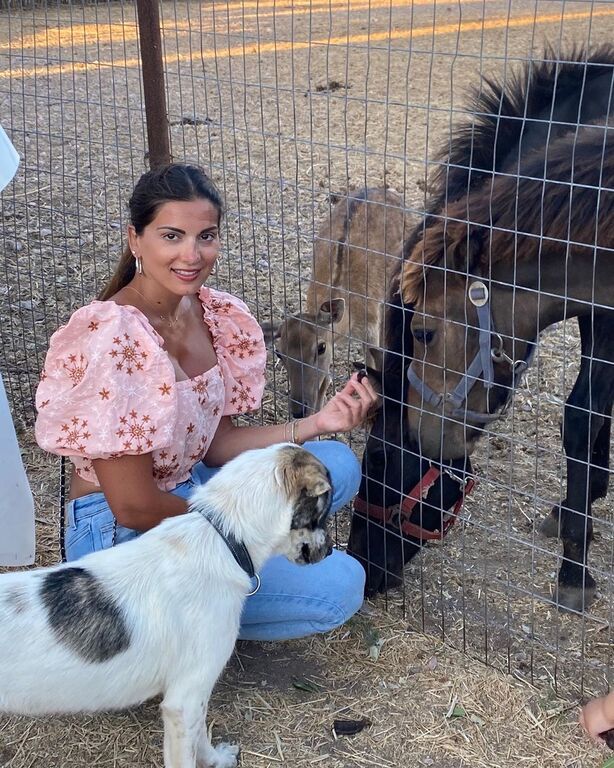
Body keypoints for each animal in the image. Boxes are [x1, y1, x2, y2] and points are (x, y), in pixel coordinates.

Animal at [0, 444, 332, 768]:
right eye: (324, 512)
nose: (329, 550)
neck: (222, 538)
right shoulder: (185, 700)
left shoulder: (190, 699)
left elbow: (201, 737)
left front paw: (215, 759)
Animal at [402, 46, 614, 612]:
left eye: (423, 332)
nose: (421, 438)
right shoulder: (594, 308)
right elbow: (593, 413)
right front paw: (581, 505)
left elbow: (583, 415)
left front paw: (574, 567)